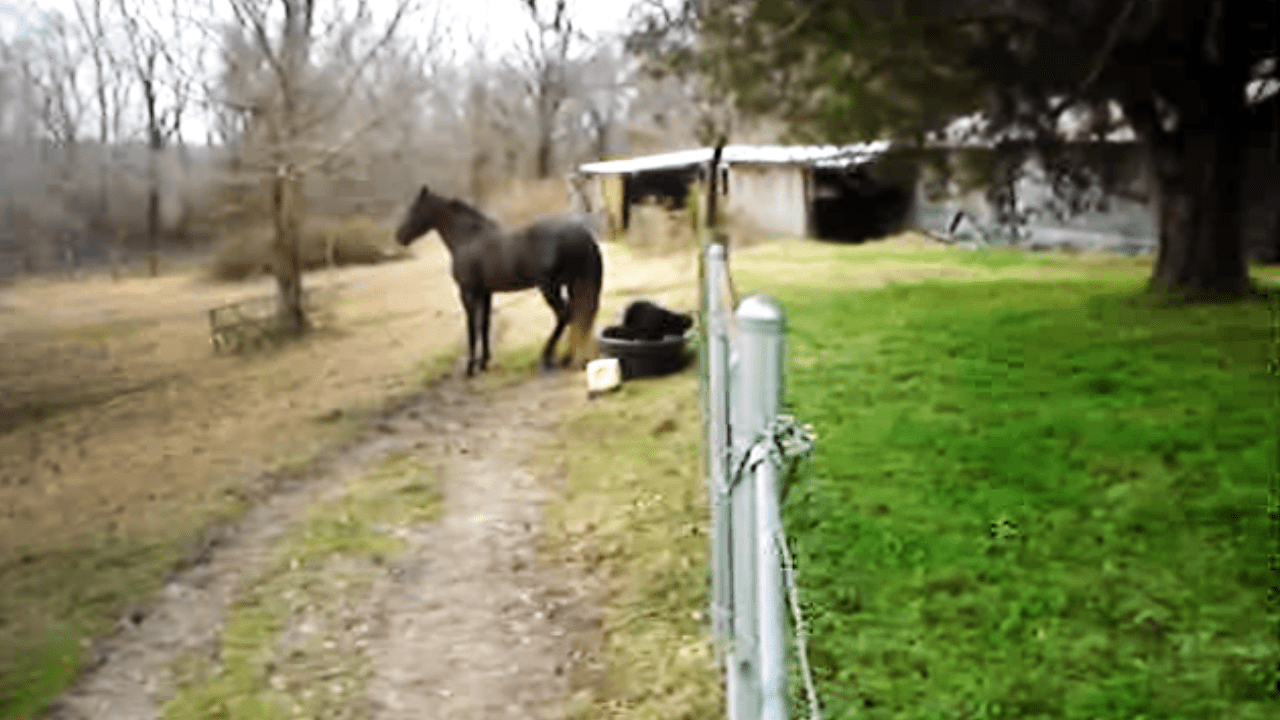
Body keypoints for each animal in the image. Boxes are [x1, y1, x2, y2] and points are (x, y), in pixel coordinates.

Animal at [395, 185, 603, 376]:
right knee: (574, 316)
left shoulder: (467, 293)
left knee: (564, 316)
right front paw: (484, 363)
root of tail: (582, 234)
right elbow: (485, 325)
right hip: (570, 285)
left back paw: (548, 358)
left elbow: (472, 328)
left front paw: (470, 368)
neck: (468, 239)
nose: (399, 236)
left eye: (414, 209)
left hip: (550, 288)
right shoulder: (486, 293)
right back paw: (566, 358)